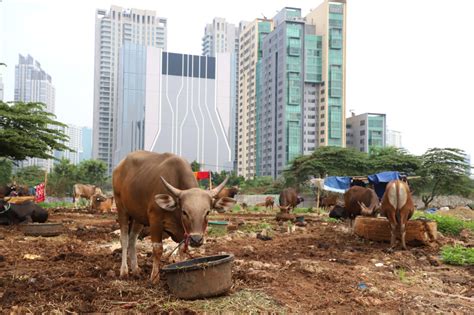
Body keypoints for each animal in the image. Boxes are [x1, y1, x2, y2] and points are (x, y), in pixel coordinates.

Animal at [113, 151, 235, 284]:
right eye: (184, 212)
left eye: (207, 212)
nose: (196, 240)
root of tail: (120, 166)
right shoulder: (155, 220)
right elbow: (158, 249)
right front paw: (154, 277)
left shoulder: (183, 231)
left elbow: (182, 249)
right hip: (121, 208)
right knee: (124, 239)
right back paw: (124, 271)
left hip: (137, 216)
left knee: (132, 240)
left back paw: (135, 270)